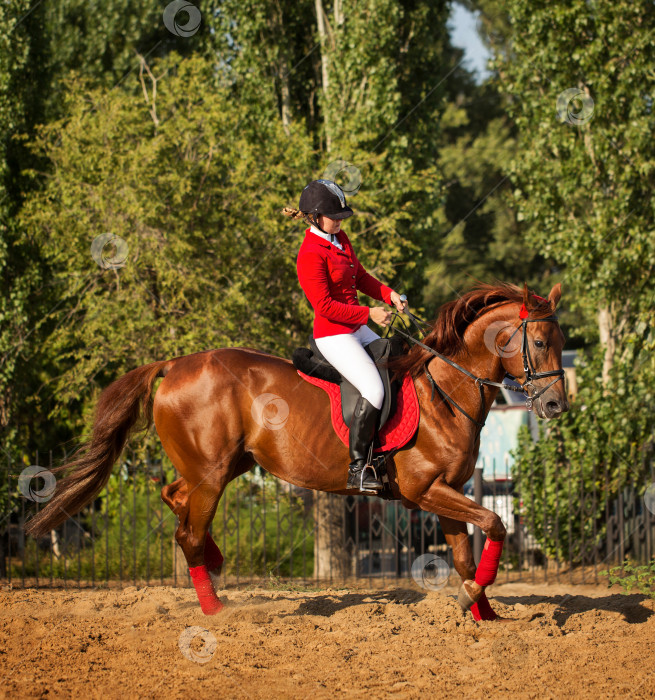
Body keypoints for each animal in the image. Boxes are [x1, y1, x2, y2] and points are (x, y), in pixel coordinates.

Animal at [25, 282, 568, 620]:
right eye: (541, 342)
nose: (556, 404)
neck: (445, 390)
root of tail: (175, 363)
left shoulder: (448, 492)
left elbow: (463, 554)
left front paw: (484, 614)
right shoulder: (425, 491)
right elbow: (494, 523)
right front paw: (476, 599)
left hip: (225, 465)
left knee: (174, 498)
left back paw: (216, 565)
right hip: (212, 474)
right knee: (188, 531)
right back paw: (216, 610)